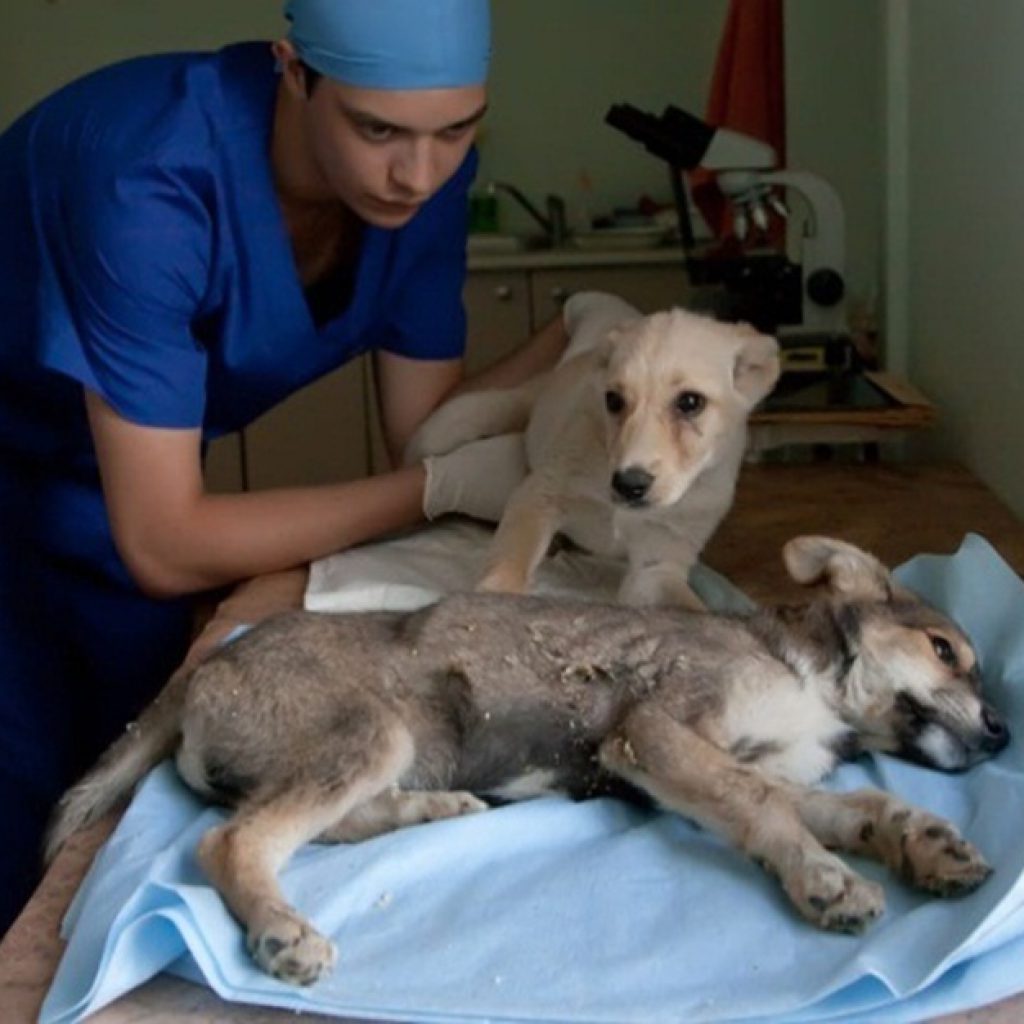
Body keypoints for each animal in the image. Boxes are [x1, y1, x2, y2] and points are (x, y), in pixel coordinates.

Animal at [48, 536, 1007, 983]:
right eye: (946, 651)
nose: (1003, 732)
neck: (814, 685)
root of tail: (196, 673)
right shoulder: (660, 733)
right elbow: (762, 809)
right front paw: (827, 881)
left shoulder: (762, 765)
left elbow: (854, 809)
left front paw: (926, 844)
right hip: (372, 733)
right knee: (233, 841)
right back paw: (283, 928)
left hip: (363, 753)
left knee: (301, 823)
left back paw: (435, 810)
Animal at [403, 290, 778, 606]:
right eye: (613, 400)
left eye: (690, 402)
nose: (628, 485)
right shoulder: (538, 495)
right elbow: (509, 565)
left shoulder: (657, 566)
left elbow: (695, 612)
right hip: (462, 423)